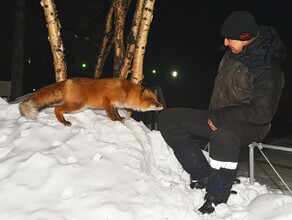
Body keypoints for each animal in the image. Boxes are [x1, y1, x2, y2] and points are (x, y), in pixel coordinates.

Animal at [19, 77, 163, 125]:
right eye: (153, 101)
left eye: (157, 100)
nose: (162, 106)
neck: (126, 92)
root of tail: (68, 80)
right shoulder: (107, 100)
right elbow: (111, 114)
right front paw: (115, 120)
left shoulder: (115, 105)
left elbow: (116, 112)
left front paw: (120, 118)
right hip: (77, 105)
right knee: (57, 109)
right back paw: (64, 122)